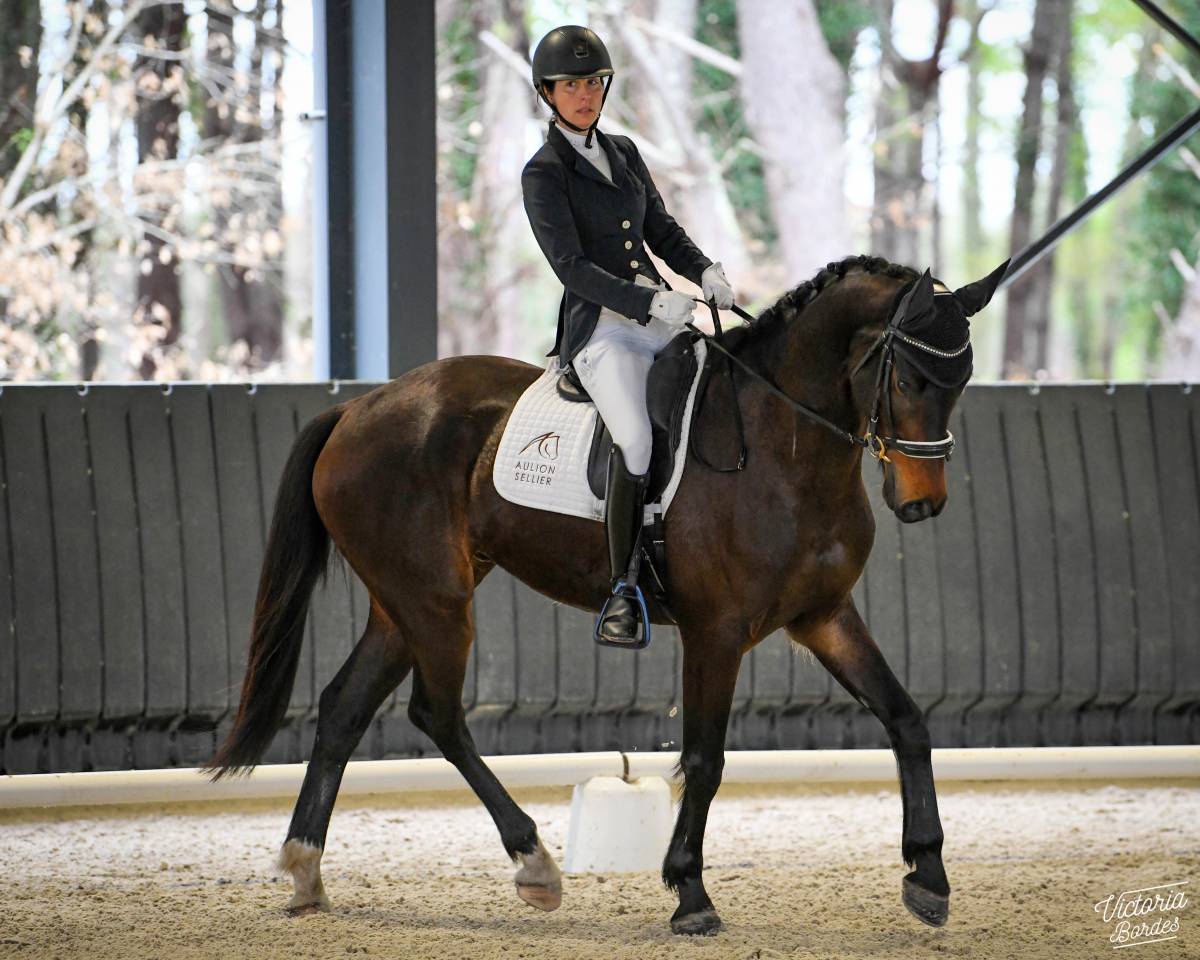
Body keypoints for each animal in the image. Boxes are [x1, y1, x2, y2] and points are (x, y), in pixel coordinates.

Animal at [202, 253, 1008, 936]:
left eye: (962, 381)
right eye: (907, 380)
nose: (921, 502)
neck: (783, 445)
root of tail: (359, 409)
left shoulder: (824, 617)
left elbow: (906, 720)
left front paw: (929, 876)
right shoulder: (716, 632)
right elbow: (705, 760)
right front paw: (689, 893)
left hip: (405, 600)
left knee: (344, 707)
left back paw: (306, 870)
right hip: (433, 601)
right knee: (438, 714)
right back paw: (533, 863)